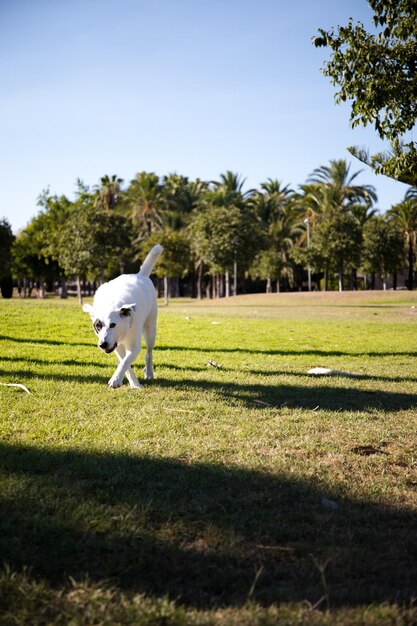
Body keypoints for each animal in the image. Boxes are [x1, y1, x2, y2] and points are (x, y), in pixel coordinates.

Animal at [82, 243, 162, 386]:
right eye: (97, 326)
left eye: (113, 325)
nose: (102, 344)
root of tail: (140, 275)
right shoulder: (116, 346)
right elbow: (124, 362)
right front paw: (133, 383)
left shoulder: (134, 346)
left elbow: (125, 361)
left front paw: (116, 379)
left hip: (150, 329)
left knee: (149, 352)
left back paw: (149, 373)